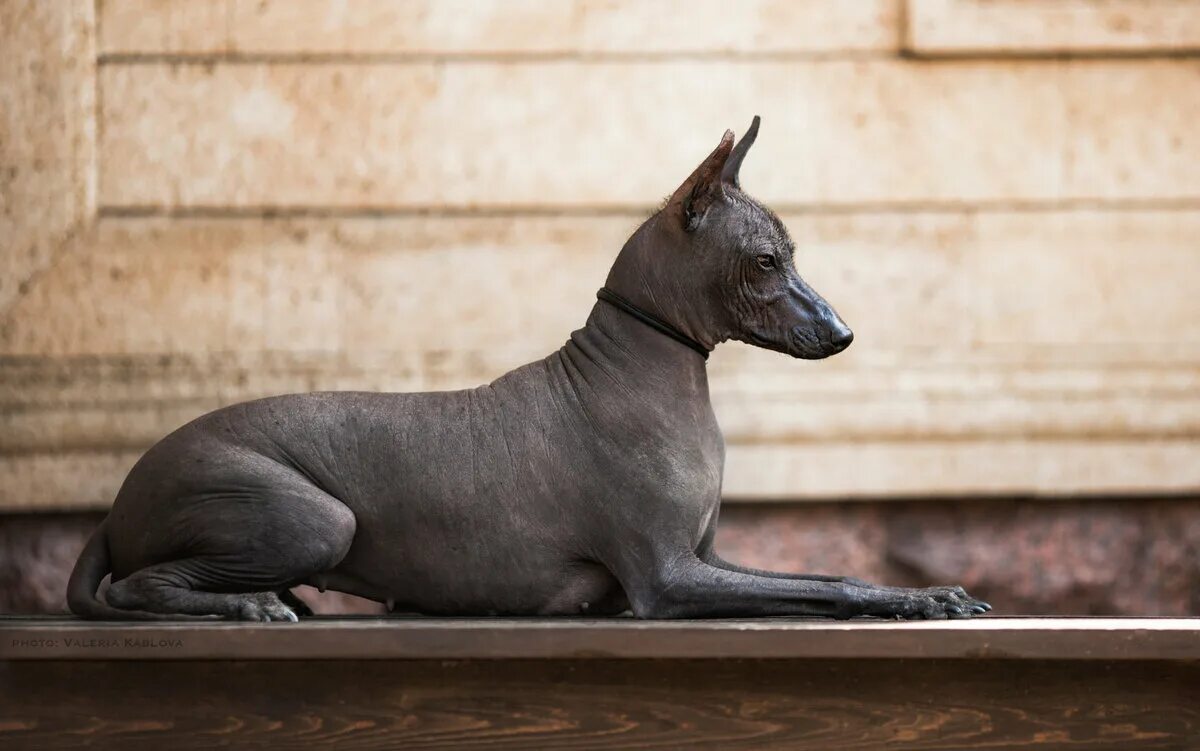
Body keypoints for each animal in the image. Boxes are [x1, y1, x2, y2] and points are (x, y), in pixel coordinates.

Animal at [68, 118, 984, 619]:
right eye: (766, 261)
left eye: (792, 252)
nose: (844, 332)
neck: (638, 371)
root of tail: (118, 503)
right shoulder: (668, 578)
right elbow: (829, 584)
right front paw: (917, 598)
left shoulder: (712, 558)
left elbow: (830, 571)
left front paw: (928, 595)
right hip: (314, 516)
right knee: (132, 589)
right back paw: (248, 601)